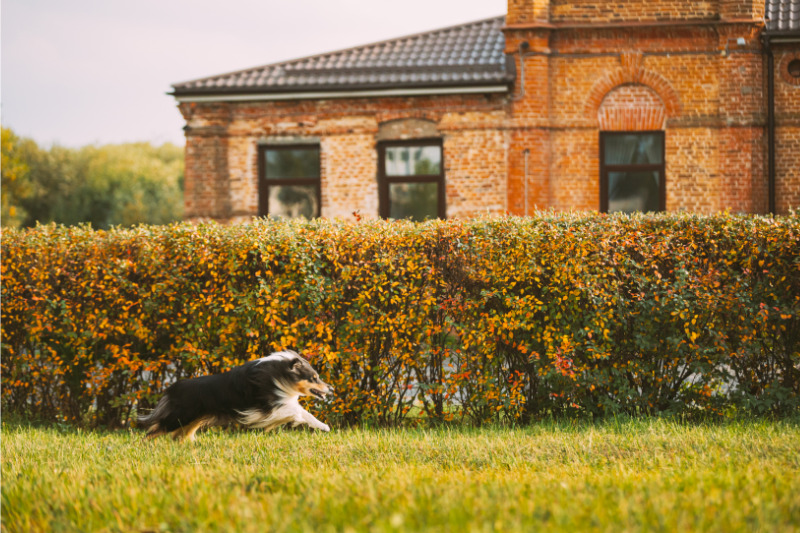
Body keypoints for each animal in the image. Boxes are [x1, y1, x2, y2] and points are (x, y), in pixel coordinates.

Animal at [139, 350, 332, 440]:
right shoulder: (266, 406)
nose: (331, 389)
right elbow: (299, 411)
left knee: (178, 436)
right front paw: (323, 426)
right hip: (180, 417)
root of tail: (173, 388)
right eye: (314, 378)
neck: (279, 375)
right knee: (153, 431)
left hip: (193, 420)